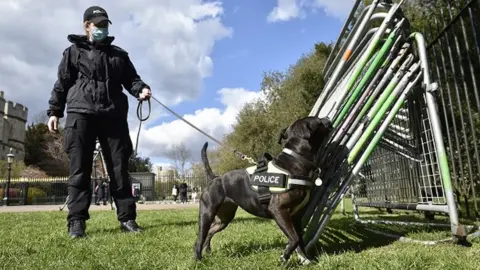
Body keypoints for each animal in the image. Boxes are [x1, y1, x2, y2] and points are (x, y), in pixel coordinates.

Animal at [193, 115, 332, 264]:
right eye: (318, 120)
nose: (327, 118)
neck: (296, 159)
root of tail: (214, 178)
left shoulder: (296, 217)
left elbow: (299, 240)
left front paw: (305, 259)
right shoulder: (279, 211)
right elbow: (294, 238)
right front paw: (285, 257)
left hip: (224, 218)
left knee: (210, 232)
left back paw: (207, 251)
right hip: (207, 214)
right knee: (200, 238)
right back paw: (198, 259)